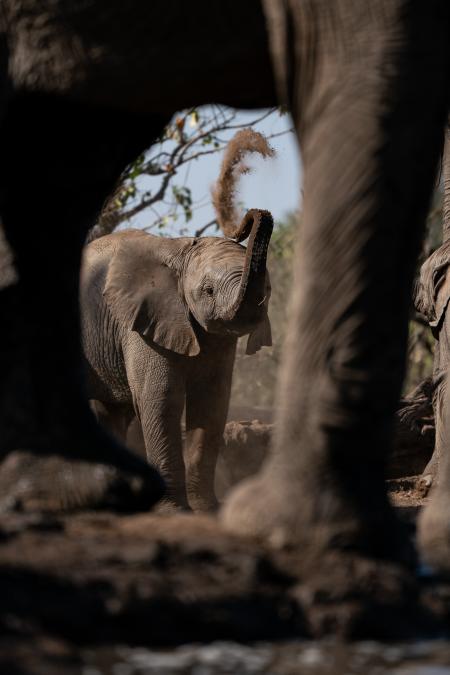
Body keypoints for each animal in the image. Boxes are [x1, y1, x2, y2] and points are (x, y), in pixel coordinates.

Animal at [82, 211, 272, 508]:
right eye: (208, 290)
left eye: (269, 289)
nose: (243, 224)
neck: (181, 252)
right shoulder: (142, 322)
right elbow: (161, 399)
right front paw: (173, 510)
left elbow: (211, 403)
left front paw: (207, 509)